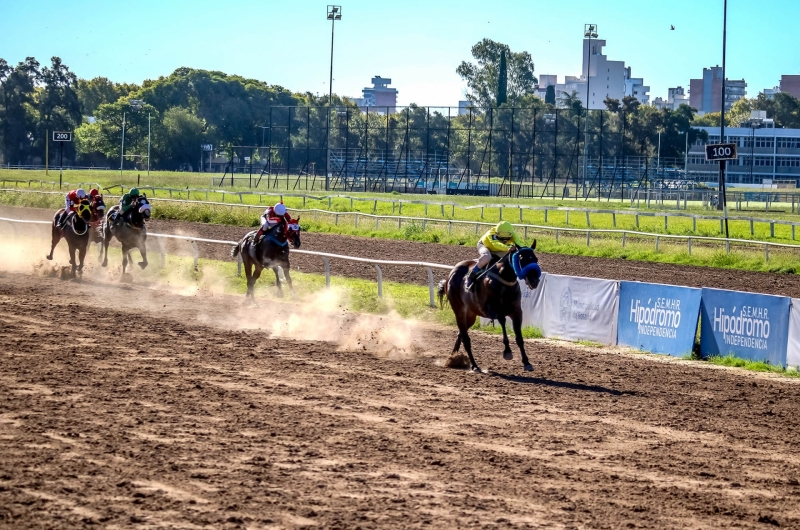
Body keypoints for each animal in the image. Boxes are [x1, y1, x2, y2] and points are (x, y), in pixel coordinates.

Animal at [438, 243, 544, 372]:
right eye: (521, 258)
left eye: (535, 259)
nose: (534, 281)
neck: (504, 281)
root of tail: (450, 275)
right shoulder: (493, 310)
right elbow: (503, 322)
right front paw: (507, 352)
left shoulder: (517, 312)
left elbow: (519, 338)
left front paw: (527, 362)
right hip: (459, 310)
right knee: (466, 339)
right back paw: (474, 365)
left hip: (471, 315)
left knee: (461, 334)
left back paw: (453, 358)